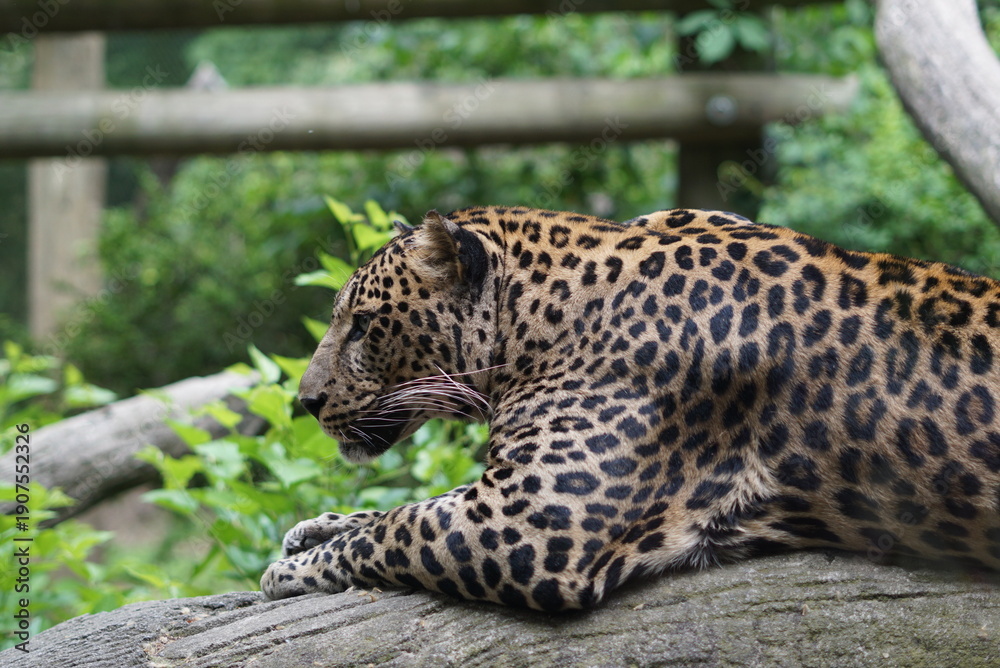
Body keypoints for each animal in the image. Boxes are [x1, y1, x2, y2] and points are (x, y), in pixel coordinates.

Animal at [261, 206, 1000, 611]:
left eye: (361, 325)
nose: (306, 402)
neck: (539, 317)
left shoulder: (531, 518)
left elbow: (400, 526)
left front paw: (289, 569)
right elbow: (401, 509)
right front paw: (314, 529)